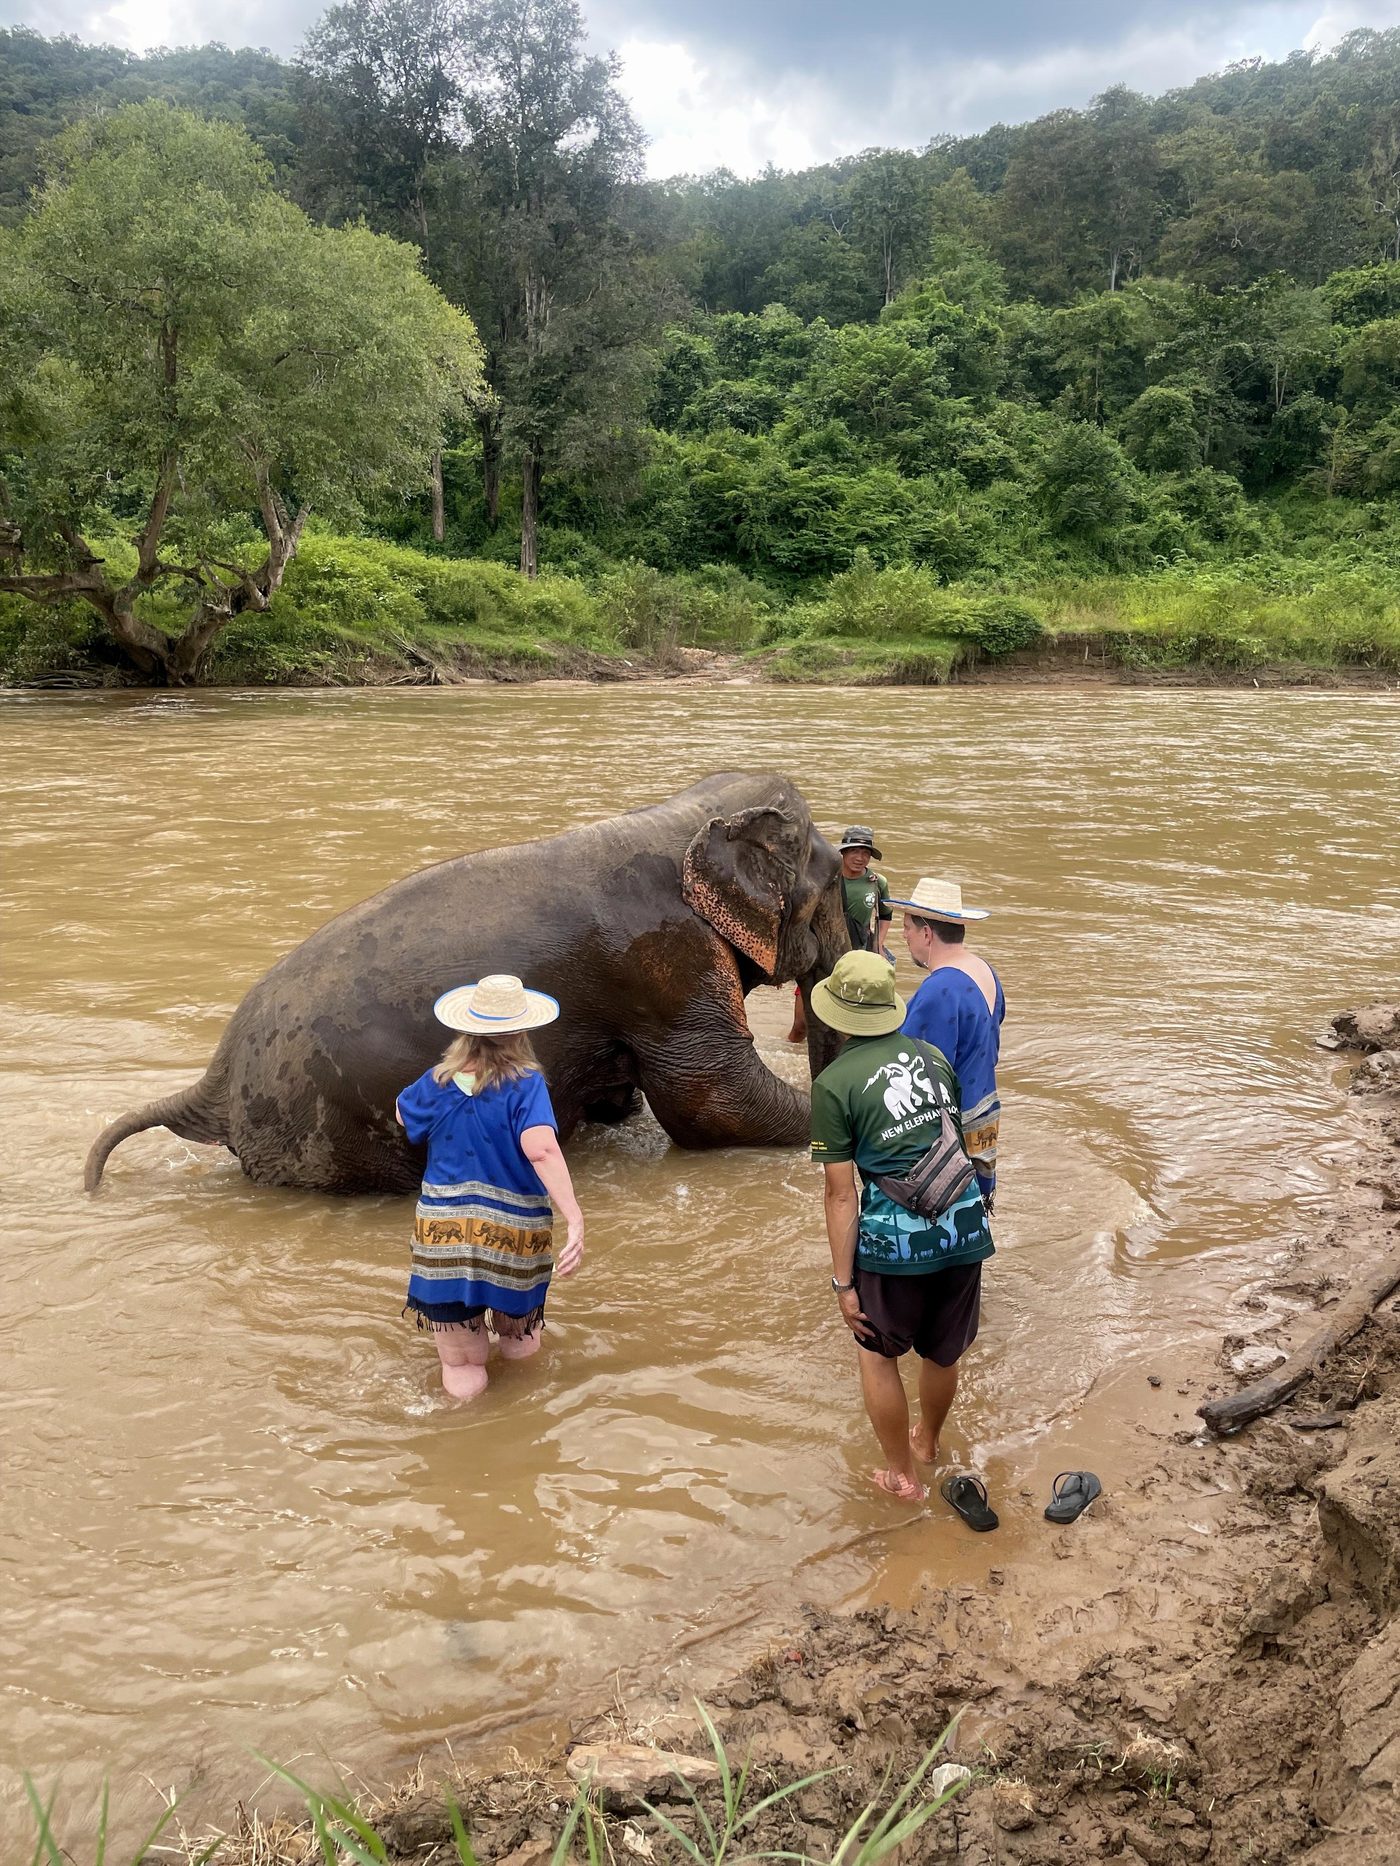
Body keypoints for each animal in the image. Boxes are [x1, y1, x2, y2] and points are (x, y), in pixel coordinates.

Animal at [85, 771, 851, 1195]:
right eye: (834, 886)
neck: (682, 813)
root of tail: (213, 1084)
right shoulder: (669, 959)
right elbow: (714, 1103)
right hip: (330, 1129)